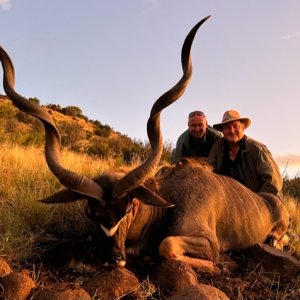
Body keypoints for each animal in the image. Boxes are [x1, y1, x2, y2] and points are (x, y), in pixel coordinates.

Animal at [1, 17, 290, 274]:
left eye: (130, 207)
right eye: (91, 213)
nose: (112, 259)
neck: (167, 199)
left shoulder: (208, 243)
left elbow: (167, 246)